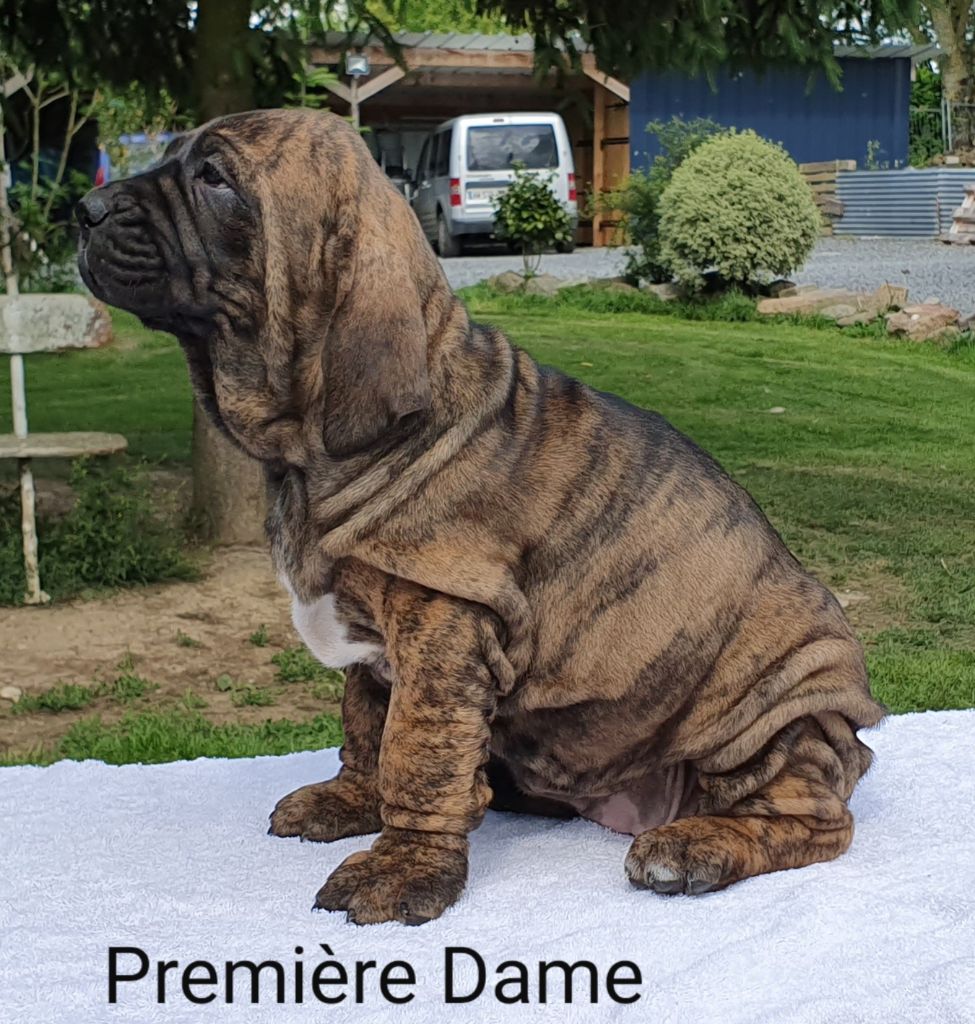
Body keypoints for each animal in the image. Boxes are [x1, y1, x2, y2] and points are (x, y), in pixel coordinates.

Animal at [78, 108, 884, 925]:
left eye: (214, 177)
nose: (82, 209)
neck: (312, 454)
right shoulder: (377, 644)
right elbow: (366, 727)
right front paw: (349, 801)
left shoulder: (442, 624)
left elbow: (416, 752)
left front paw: (401, 869)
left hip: (776, 709)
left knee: (816, 819)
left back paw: (692, 847)